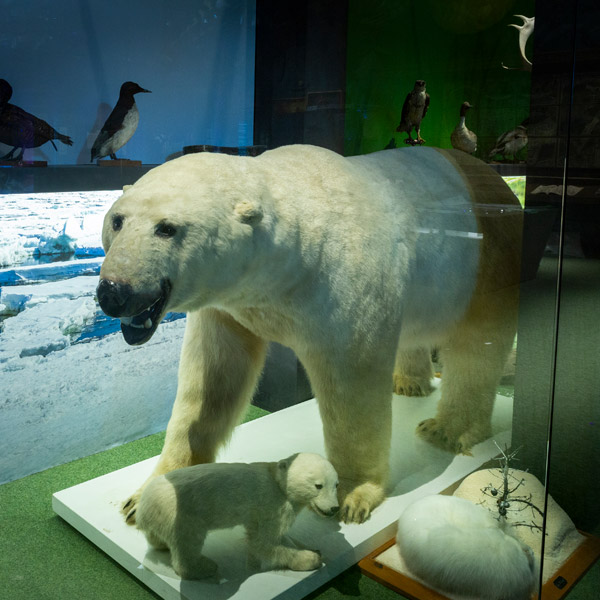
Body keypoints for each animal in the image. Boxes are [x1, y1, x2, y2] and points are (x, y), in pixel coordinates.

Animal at [97, 145, 520, 524]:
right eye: (117, 220)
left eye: (167, 228)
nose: (114, 292)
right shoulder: (229, 306)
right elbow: (210, 381)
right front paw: (146, 496)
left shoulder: (344, 287)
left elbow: (353, 388)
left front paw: (351, 494)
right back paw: (408, 384)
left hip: (490, 257)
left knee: (478, 347)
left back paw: (446, 430)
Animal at [137, 452, 340, 580]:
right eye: (318, 485)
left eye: (336, 484)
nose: (334, 508)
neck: (276, 479)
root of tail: (143, 507)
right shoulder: (271, 505)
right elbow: (263, 544)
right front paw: (311, 558)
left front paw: (311, 548)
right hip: (182, 515)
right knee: (188, 543)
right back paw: (205, 567)